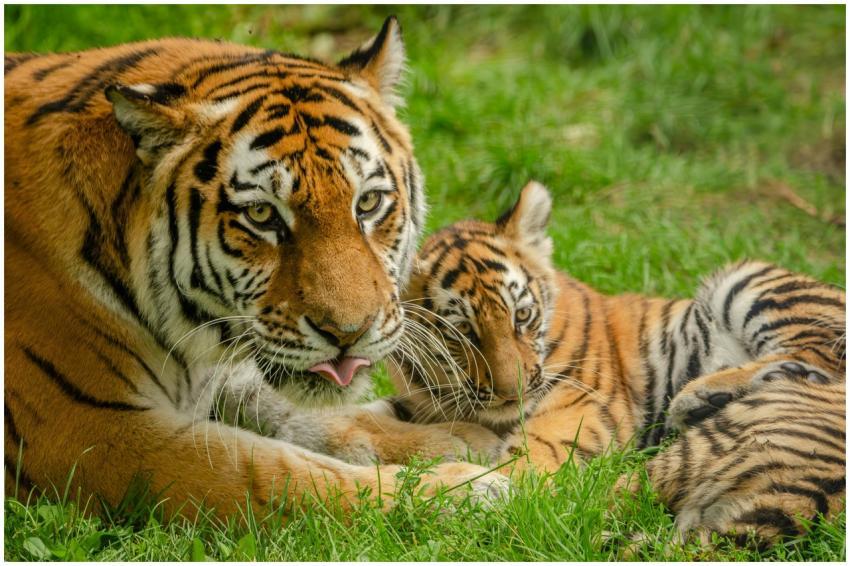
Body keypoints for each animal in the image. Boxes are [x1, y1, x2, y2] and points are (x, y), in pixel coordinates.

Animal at [4, 16, 508, 520]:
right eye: (262, 215)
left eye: (367, 203)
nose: (349, 334)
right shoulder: (93, 431)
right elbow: (280, 474)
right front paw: (469, 492)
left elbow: (298, 412)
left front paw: (460, 440)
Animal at [385, 180, 845, 541]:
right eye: (463, 331)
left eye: (523, 315)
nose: (513, 392)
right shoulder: (420, 401)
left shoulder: (584, 404)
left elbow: (535, 453)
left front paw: (495, 489)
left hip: (748, 280)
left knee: (822, 355)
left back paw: (699, 396)